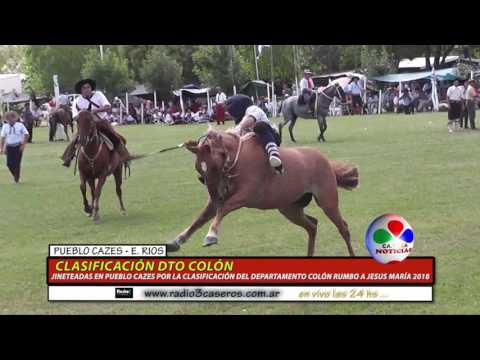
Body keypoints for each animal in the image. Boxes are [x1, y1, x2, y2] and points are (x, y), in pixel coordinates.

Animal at [167, 128, 358, 258]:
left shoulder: (245, 195)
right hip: (289, 208)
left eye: (213, 166)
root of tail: (326, 161)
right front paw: (177, 240)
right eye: (199, 169)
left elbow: (223, 209)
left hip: (328, 202)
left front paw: (211, 235)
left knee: (343, 227)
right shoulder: (217, 199)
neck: (237, 159)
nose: (215, 195)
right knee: (312, 225)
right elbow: (199, 219)